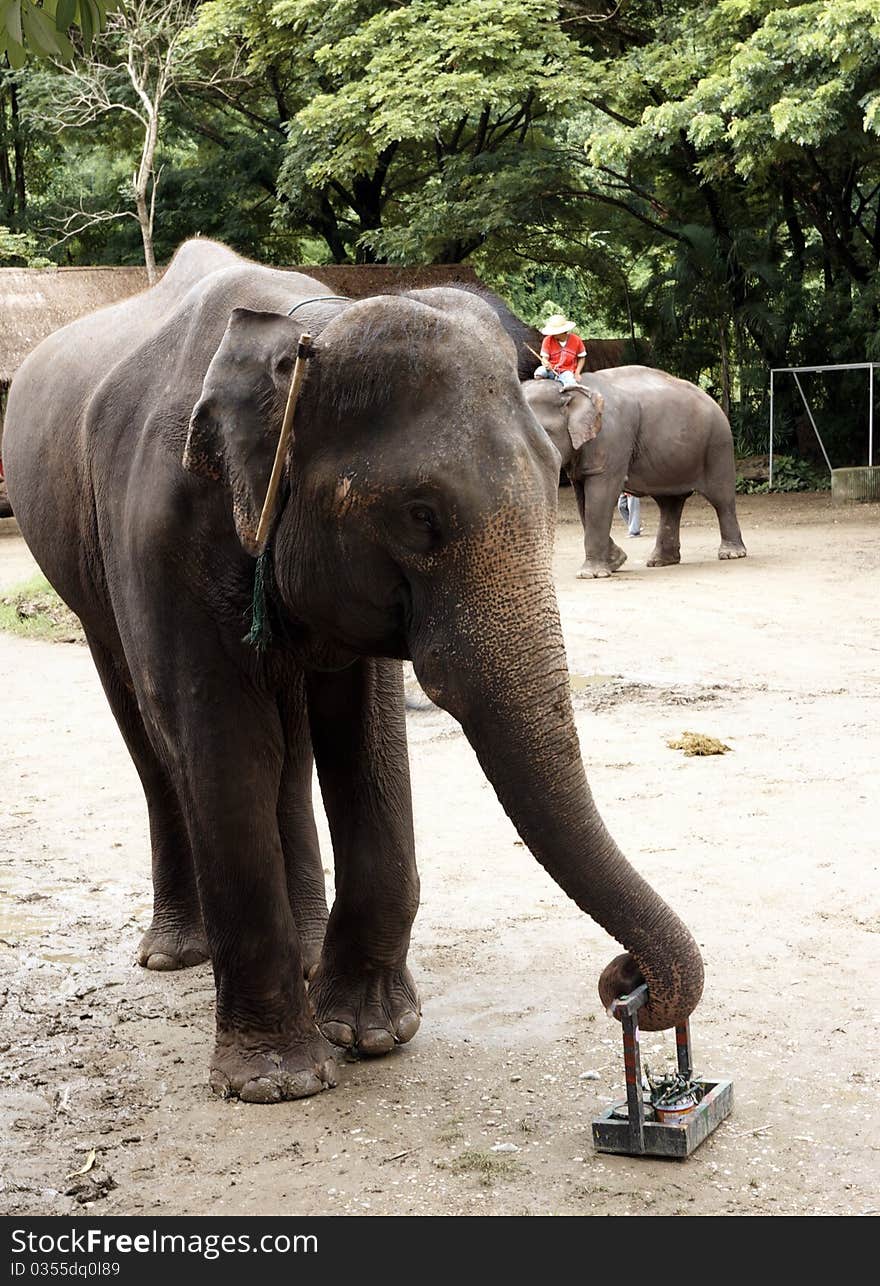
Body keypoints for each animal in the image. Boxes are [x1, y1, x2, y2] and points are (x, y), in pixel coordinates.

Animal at [0, 239, 699, 1105]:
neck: (302, 336)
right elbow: (221, 740)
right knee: (154, 738)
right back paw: (175, 954)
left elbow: (364, 737)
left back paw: (304, 953)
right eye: (420, 516)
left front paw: (372, 1034)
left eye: (552, 482)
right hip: (82, 568)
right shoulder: (156, 532)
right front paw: (278, 1082)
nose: (625, 980)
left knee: (290, 744)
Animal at [524, 365, 746, 581]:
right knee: (670, 503)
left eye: (543, 432)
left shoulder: (611, 441)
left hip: (718, 445)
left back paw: (731, 554)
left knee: (721, 498)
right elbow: (583, 501)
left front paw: (591, 574)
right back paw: (661, 562)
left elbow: (600, 496)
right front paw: (617, 561)